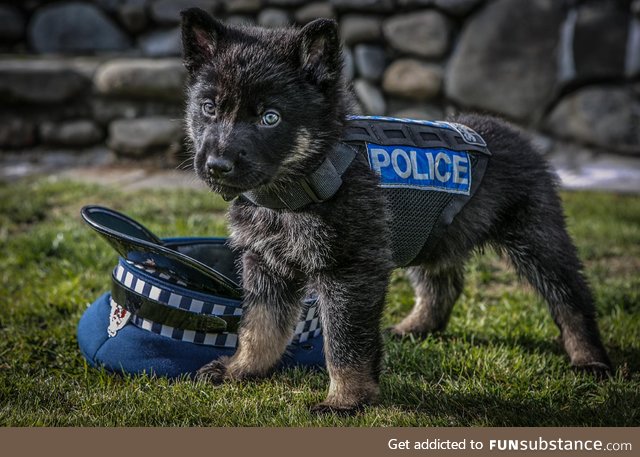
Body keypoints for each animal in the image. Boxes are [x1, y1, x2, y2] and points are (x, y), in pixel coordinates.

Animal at [180, 8, 608, 414]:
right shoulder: (265, 263)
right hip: (427, 233)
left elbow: (345, 343)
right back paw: (416, 327)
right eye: (209, 108)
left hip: (535, 238)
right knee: (443, 285)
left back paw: (589, 358)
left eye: (270, 117)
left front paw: (347, 399)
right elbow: (259, 326)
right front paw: (241, 369)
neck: (303, 179)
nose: (216, 165)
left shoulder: (350, 271)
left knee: (571, 296)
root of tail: (519, 135)